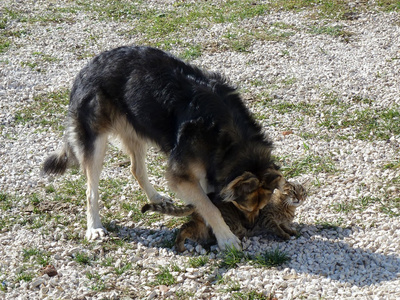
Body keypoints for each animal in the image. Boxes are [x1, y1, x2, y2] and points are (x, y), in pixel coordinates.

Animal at [42, 45, 282, 251]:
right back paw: (94, 227)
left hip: (137, 129)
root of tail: (87, 67)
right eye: (245, 207)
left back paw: (156, 198)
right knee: (91, 190)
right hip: (96, 143)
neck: (229, 141)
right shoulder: (182, 176)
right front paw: (226, 238)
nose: (251, 227)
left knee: (136, 169)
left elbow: (206, 201)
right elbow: (210, 206)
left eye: (260, 208)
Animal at [141, 180, 306, 253]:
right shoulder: (267, 219)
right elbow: (278, 228)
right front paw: (285, 235)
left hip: (201, 229)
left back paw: (179, 245)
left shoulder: (281, 220)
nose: (299, 198)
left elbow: (285, 225)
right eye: (292, 192)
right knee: (186, 228)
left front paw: (291, 231)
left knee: (186, 227)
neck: (286, 208)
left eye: (303, 192)